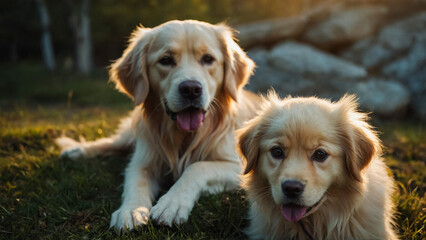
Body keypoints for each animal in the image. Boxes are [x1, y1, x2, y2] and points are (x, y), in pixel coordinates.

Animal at [56, 20, 260, 232]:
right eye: (166, 60)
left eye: (207, 59)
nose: (191, 89)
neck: (183, 136)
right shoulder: (142, 161)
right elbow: (135, 183)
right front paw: (131, 210)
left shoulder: (236, 166)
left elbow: (196, 167)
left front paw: (171, 203)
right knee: (111, 143)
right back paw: (76, 151)